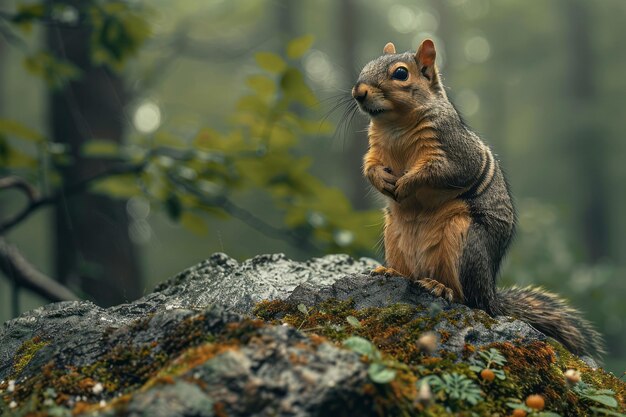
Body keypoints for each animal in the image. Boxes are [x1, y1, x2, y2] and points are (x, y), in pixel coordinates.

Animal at [348, 38, 604, 358]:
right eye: (366, 66)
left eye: (401, 74)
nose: (358, 92)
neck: (395, 124)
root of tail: (490, 293)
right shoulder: (376, 149)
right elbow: (369, 166)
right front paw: (382, 179)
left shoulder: (455, 151)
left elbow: (441, 171)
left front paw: (407, 182)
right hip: (394, 237)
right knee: (411, 275)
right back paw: (391, 272)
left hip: (466, 241)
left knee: (467, 298)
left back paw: (440, 288)